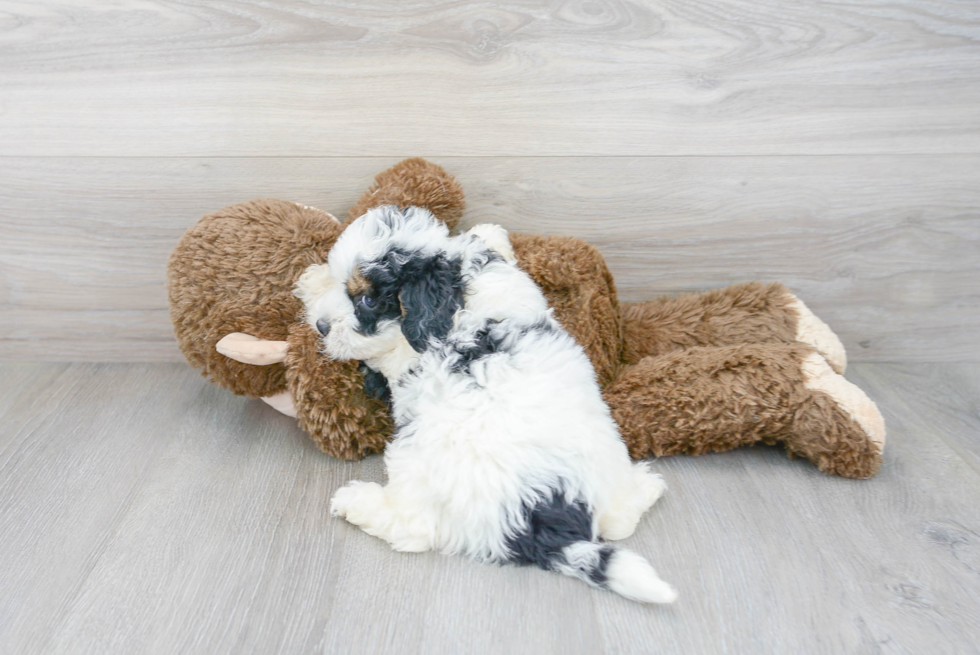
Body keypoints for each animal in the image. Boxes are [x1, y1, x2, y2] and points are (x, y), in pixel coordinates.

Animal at [290, 205, 672, 604]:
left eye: (366, 300)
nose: (321, 326)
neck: (454, 297)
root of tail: (544, 524)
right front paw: (490, 233)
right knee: (618, 521)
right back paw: (645, 487)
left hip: (416, 459)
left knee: (413, 529)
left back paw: (356, 501)